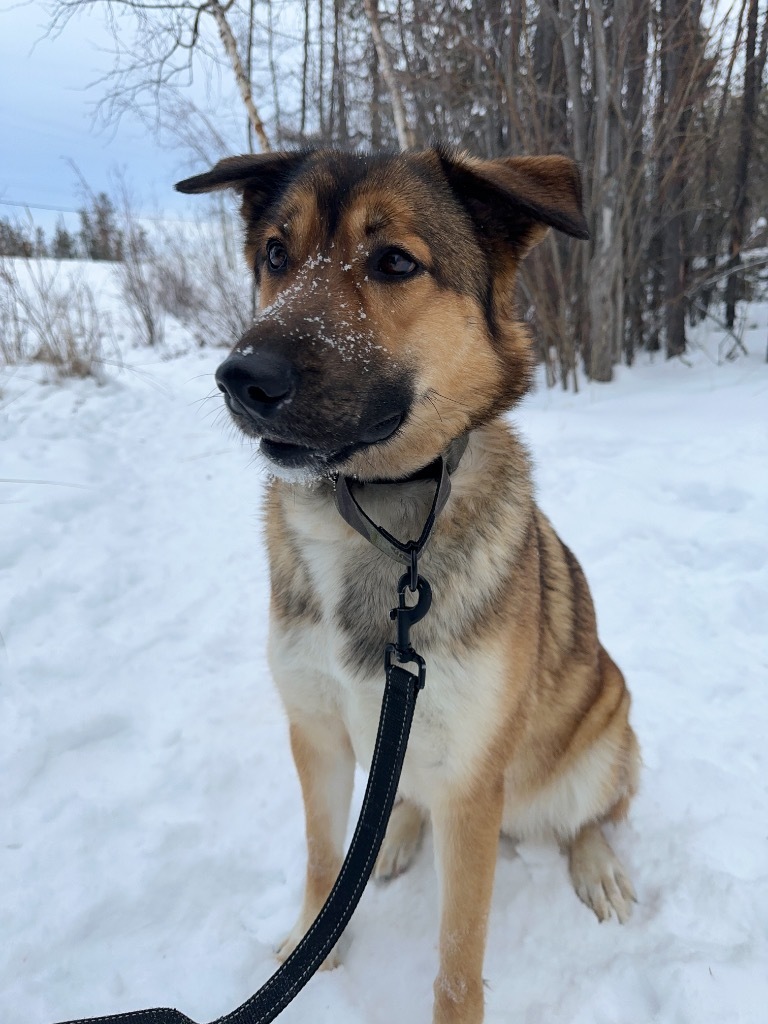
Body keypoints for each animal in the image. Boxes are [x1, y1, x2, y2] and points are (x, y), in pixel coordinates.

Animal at [177, 146, 638, 1024]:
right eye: (276, 255)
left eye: (395, 262)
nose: (242, 377)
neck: (376, 515)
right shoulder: (316, 732)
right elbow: (323, 856)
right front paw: (316, 943)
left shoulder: (470, 784)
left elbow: (458, 960)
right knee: (399, 804)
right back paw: (387, 839)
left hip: (603, 731)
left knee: (592, 818)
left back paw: (596, 867)